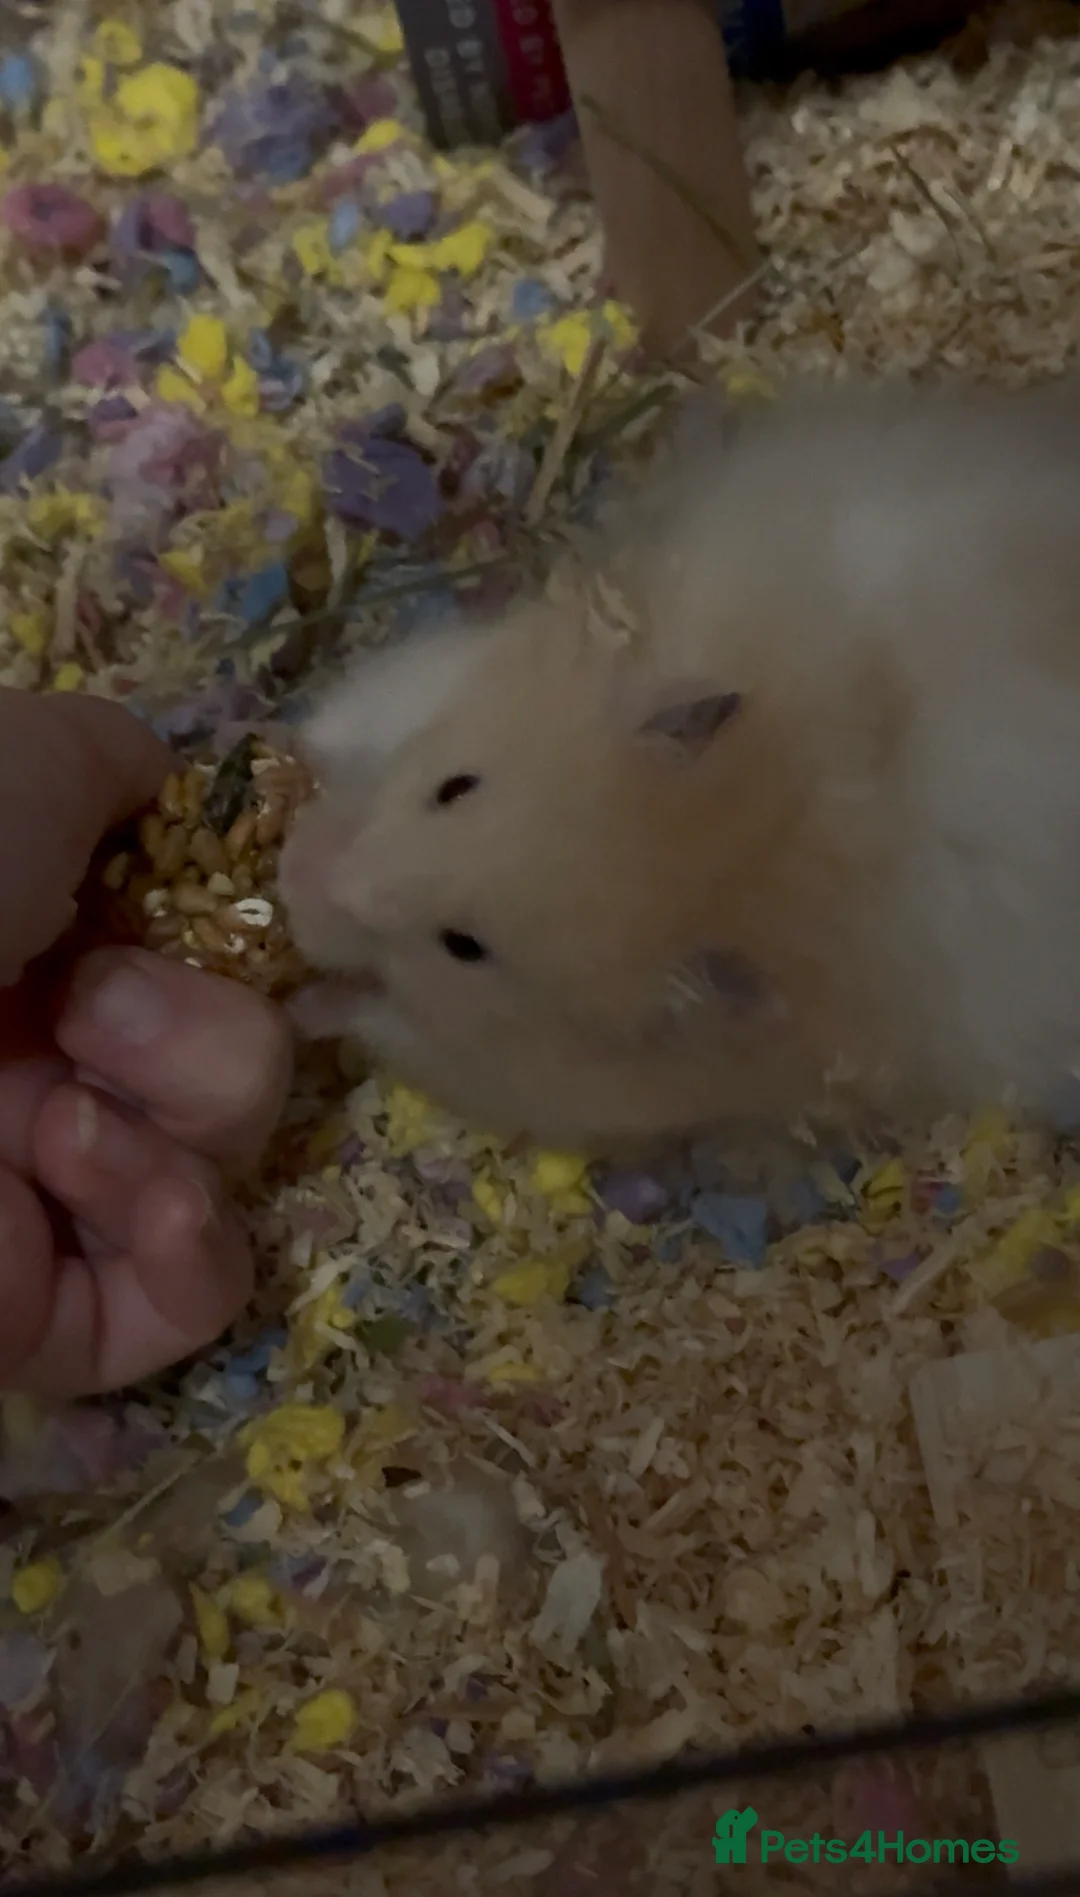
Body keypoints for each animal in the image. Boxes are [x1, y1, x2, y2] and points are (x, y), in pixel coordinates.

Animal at [278, 374, 1080, 1153]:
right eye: (455, 786)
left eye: (466, 946)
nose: (303, 884)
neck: (772, 802)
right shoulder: (461, 668)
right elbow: (363, 711)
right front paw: (298, 754)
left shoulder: (550, 1078)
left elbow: (389, 1022)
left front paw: (306, 1000)